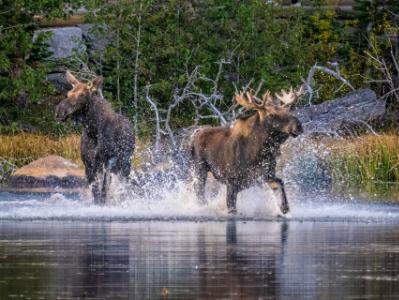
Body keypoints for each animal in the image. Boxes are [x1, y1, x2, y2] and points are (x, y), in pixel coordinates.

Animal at [54, 71, 136, 205]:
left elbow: (103, 191)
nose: (59, 111)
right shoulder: (88, 163)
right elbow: (95, 191)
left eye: (82, 94)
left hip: (125, 163)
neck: (93, 130)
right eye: (68, 93)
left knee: (123, 184)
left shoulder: (107, 161)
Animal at [191, 86, 304, 216]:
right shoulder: (232, 180)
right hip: (200, 168)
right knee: (199, 192)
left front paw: (284, 208)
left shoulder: (265, 175)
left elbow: (279, 182)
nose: (298, 126)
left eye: (288, 110)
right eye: (271, 114)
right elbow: (231, 208)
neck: (259, 151)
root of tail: (194, 135)